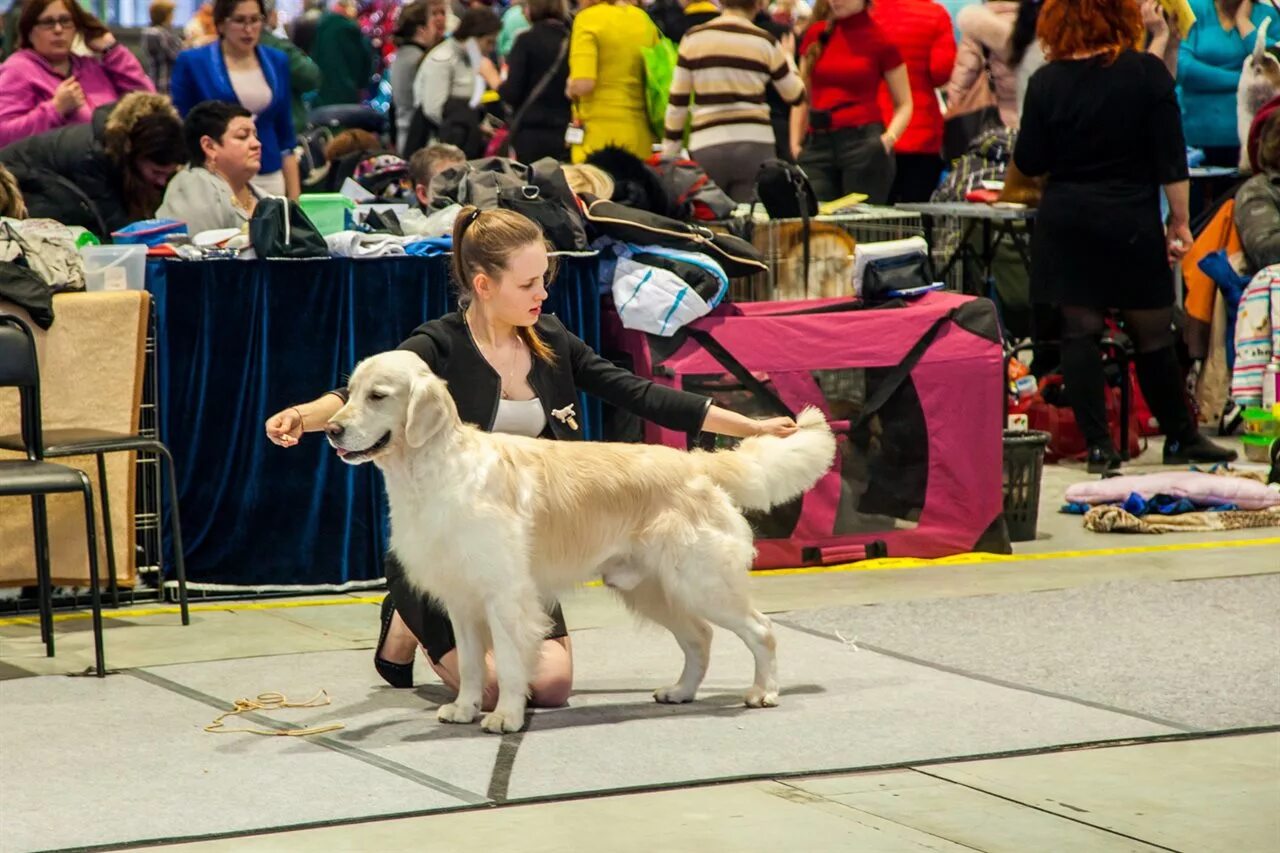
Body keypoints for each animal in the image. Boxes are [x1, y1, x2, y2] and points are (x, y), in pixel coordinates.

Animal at [325, 348, 834, 727]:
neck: (434, 469)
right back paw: (680, 691)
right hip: (653, 588)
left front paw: (505, 717)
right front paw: (465, 708)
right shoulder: (462, 599)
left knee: (760, 630)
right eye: (348, 393)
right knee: (700, 638)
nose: (331, 429)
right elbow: (471, 665)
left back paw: (763, 691)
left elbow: (508, 661)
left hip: (703, 581)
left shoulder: (505, 595)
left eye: (378, 395)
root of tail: (697, 464)